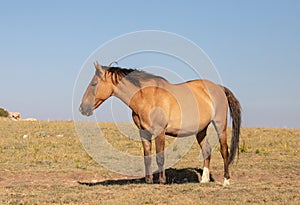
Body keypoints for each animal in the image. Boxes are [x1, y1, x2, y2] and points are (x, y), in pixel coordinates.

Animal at [79, 60, 241, 186]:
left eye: (94, 84)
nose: (82, 108)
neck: (146, 97)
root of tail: (219, 88)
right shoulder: (144, 132)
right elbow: (147, 157)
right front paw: (148, 180)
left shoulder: (159, 132)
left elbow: (160, 157)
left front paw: (162, 181)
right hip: (201, 130)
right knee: (206, 150)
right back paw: (204, 180)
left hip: (220, 125)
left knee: (224, 150)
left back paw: (226, 180)